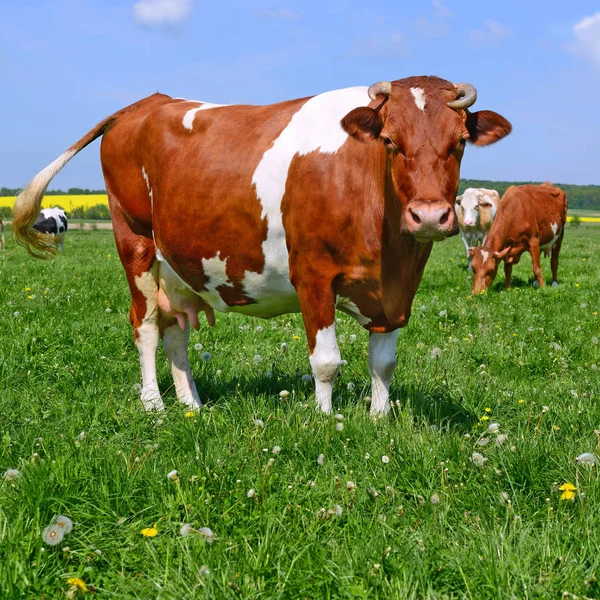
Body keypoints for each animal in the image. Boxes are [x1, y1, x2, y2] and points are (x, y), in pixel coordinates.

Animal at [12, 76, 510, 418]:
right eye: (390, 140)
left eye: (460, 142)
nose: (429, 216)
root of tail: (144, 104)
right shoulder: (313, 275)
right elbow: (326, 361)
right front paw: (326, 420)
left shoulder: (395, 291)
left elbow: (384, 363)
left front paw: (379, 419)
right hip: (133, 240)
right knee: (147, 324)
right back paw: (154, 404)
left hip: (178, 263)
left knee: (176, 331)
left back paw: (192, 405)